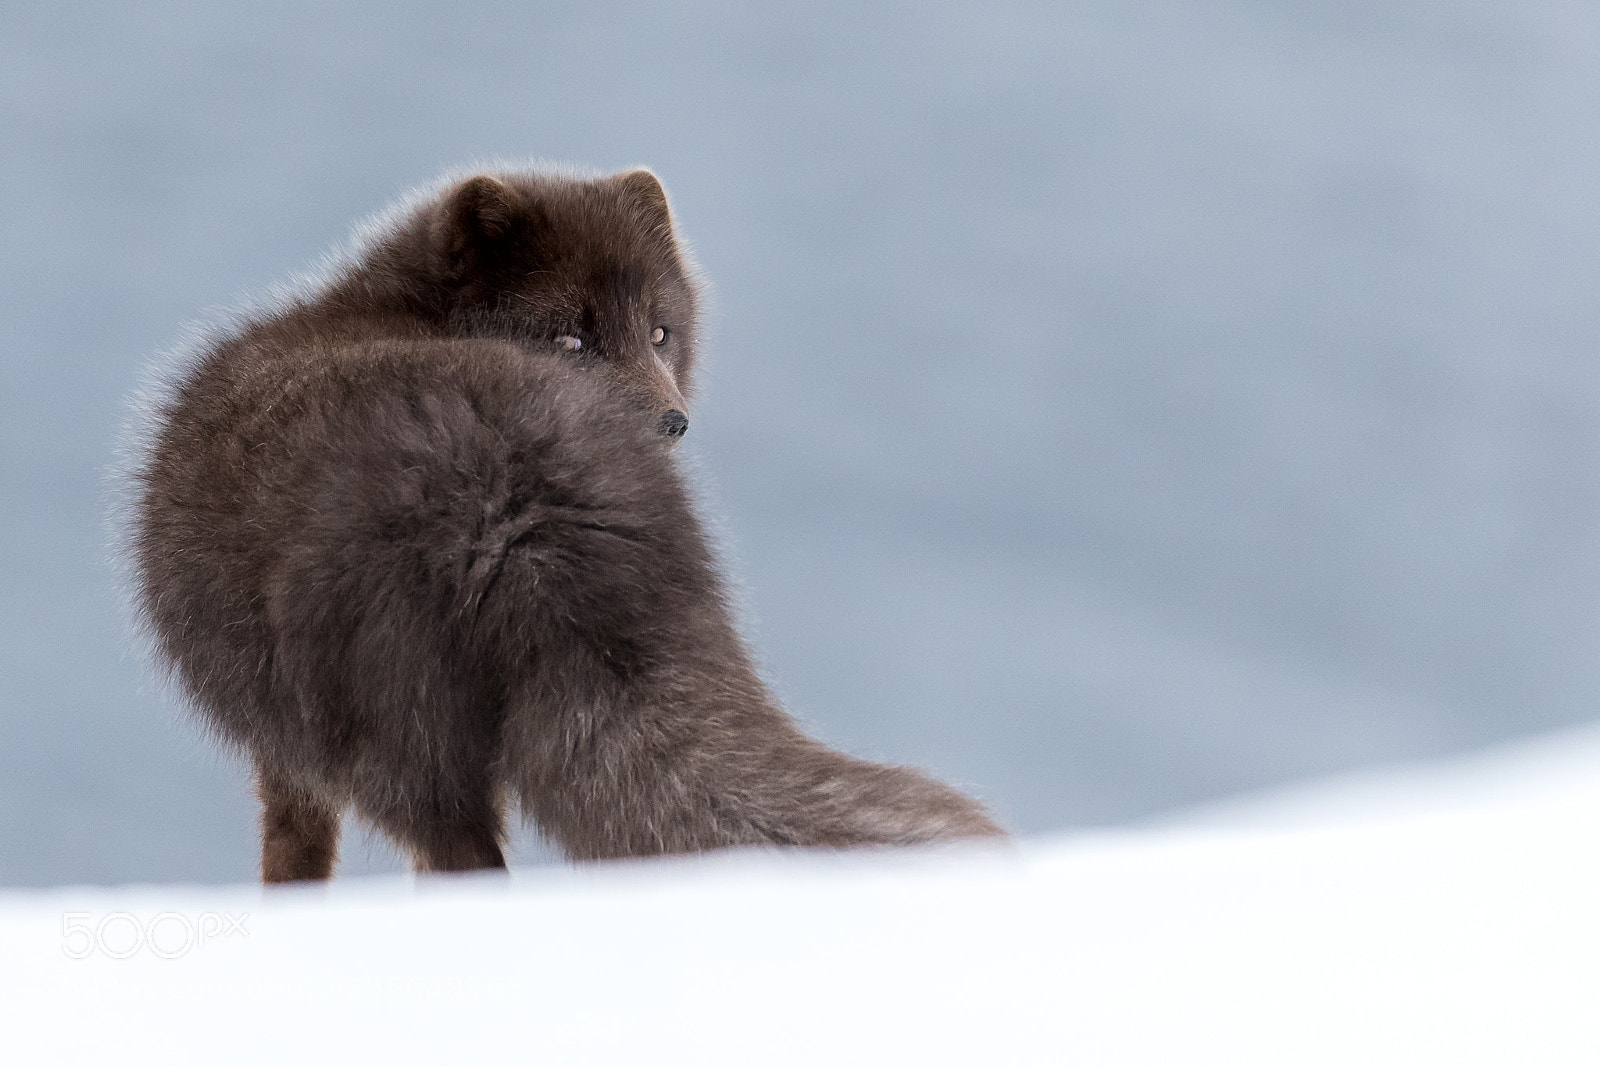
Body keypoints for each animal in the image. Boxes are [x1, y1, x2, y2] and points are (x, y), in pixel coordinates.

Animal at [128, 166, 1004, 882]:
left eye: (658, 330)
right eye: (572, 337)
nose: (672, 423)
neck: (391, 308)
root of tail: (525, 490)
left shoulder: (280, 738)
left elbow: (294, 853)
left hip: (391, 730)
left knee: (459, 856)